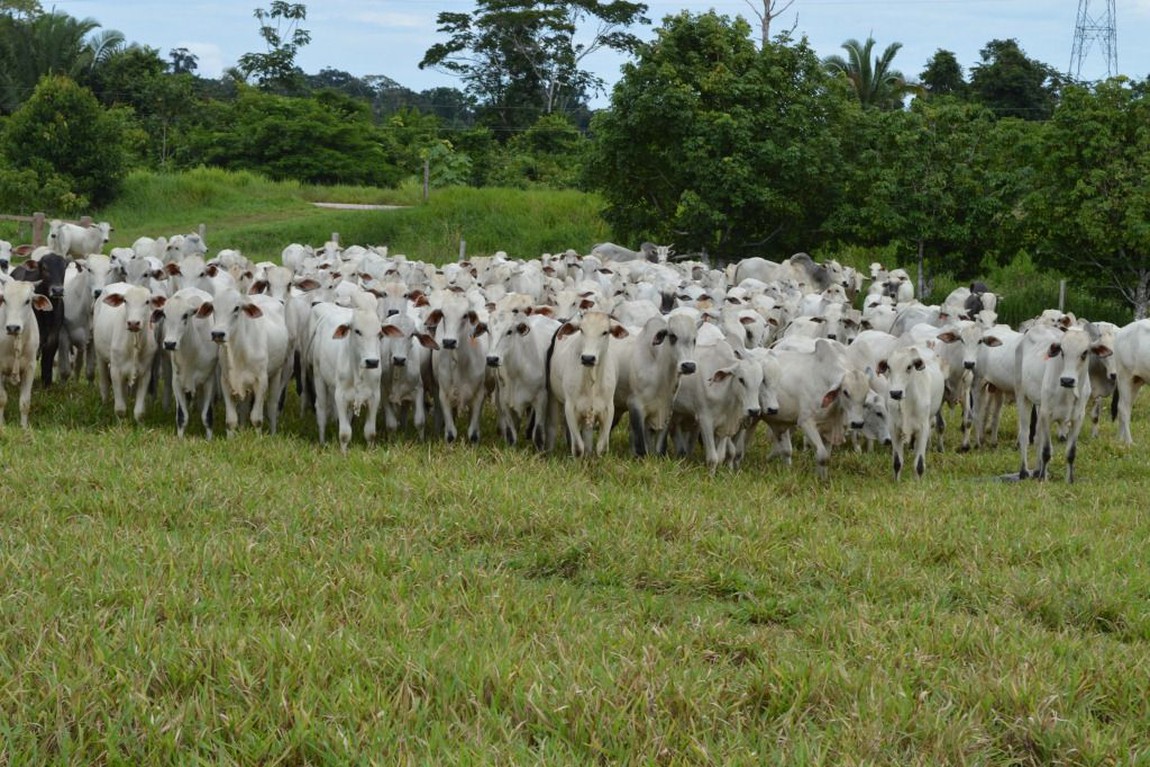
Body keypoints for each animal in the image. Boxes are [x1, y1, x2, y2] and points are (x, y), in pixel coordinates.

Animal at [0, 280, 51, 430]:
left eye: (27, 301)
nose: (13, 327)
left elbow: (25, 402)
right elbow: (2, 399)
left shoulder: (30, 368)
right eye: (4, 299)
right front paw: (1, 424)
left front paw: (24, 427)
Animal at [92, 281, 166, 423]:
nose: (133, 323)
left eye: (147, 301)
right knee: (104, 384)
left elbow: (139, 411)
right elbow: (120, 408)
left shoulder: (145, 372)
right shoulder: (115, 370)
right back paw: (104, 403)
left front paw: (139, 423)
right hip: (99, 356)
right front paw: (120, 422)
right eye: (125, 301)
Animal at [159, 287, 217, 436]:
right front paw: (180, 438)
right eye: (165, 315)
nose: (169, 344)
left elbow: (207, 416)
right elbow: (182, 416)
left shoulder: (209, 381)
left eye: (185, 316)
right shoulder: (176, 382)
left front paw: (209, 438)